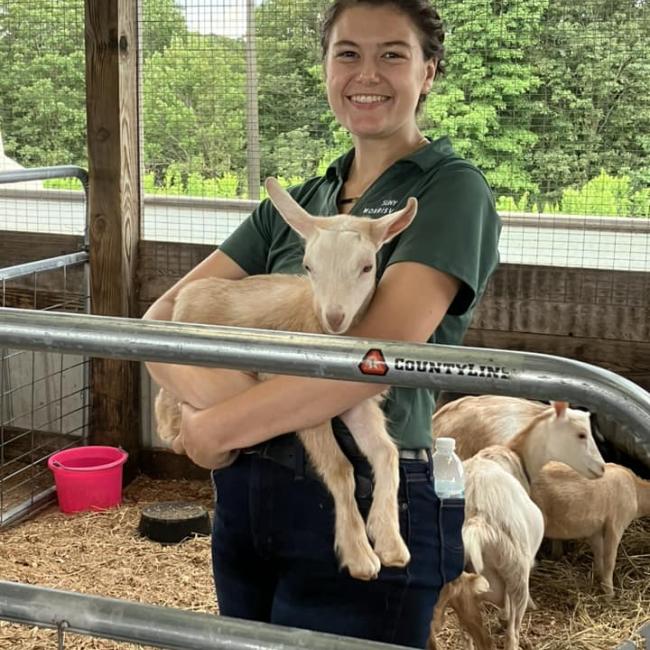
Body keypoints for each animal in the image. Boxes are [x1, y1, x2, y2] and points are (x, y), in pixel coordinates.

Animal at [155, 176, 418, 576]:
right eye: (309, 266)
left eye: (366, 267)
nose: (334, 317)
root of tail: (188, 292)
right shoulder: (299, 403)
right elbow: (340, 468)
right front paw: (359, 554)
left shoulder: (354, 402)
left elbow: (386, 453)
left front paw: (390, 543)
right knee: (165, 393)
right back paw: (170, 426)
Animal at [430, 400, 604, 648]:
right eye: (581, 434)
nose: (602, 468)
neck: (517, 455)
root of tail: (477, 520)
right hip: (516, 570)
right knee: (512, 633)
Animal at [528, 460, 644, 592]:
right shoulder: (617, 524)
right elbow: (610, 559)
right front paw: (609, 592)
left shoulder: (595, 527)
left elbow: (599, 551)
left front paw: (598, 575)